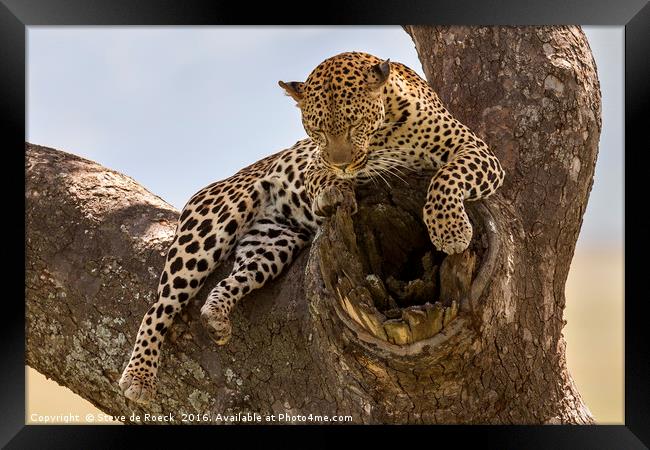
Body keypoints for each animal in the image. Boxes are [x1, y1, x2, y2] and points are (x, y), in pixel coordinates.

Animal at [119, 51, 504, 404]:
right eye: (316, 129)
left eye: (354, 124)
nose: (343, 164)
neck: (386, 130)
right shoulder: (313, 162)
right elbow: (321, 177)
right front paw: (333, 192)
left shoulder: (477, 150)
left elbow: (447, 175)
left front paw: (449, 229)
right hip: (212, 224)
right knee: (159, 306)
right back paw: (139, 376)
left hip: (274, 242)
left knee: (232, 279)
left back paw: (216, 317)